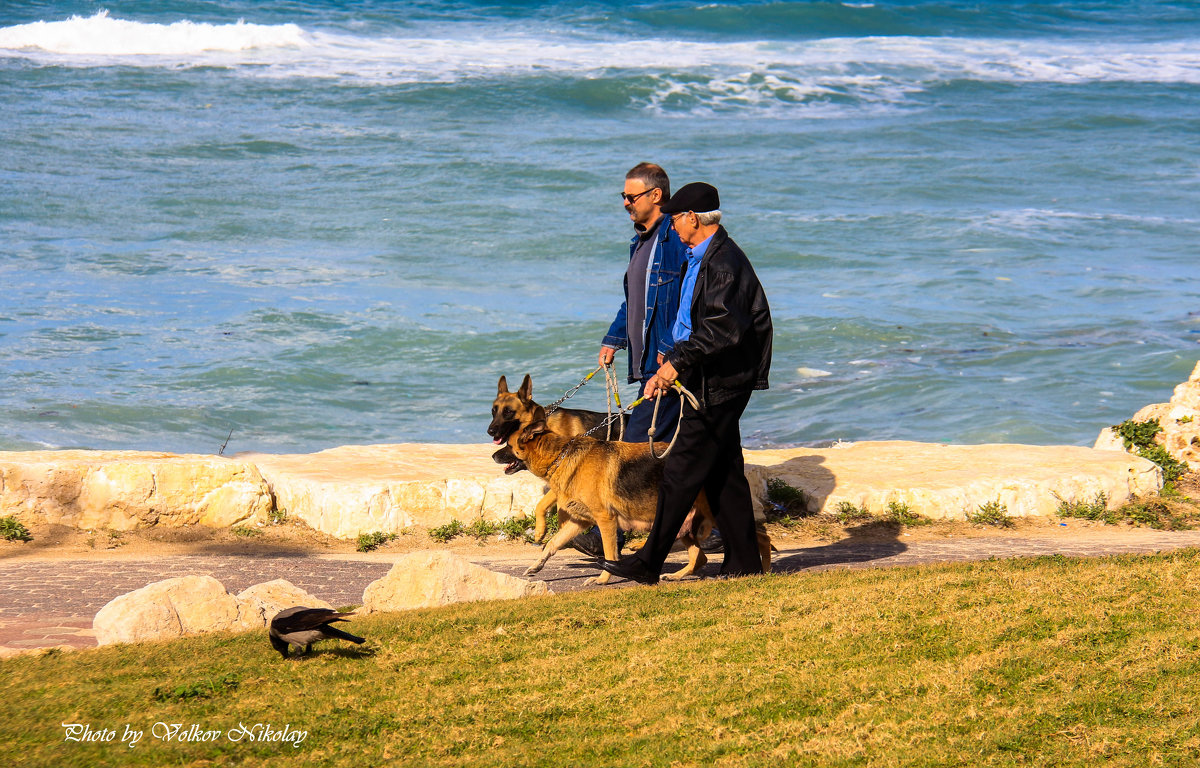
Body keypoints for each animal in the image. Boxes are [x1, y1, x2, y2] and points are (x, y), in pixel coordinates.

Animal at [501, 405, 772, 585]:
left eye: (508, 445)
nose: (494, 455)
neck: (561, 455)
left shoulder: (606, 521)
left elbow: (610, 553)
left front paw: (603, 578)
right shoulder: (580, 522)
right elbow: (552, 544)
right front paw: (536, 566)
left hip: (711, 514)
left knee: (761, 536)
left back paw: (763, 570)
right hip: (683, 521)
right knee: (700, 557)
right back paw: (676, 576)